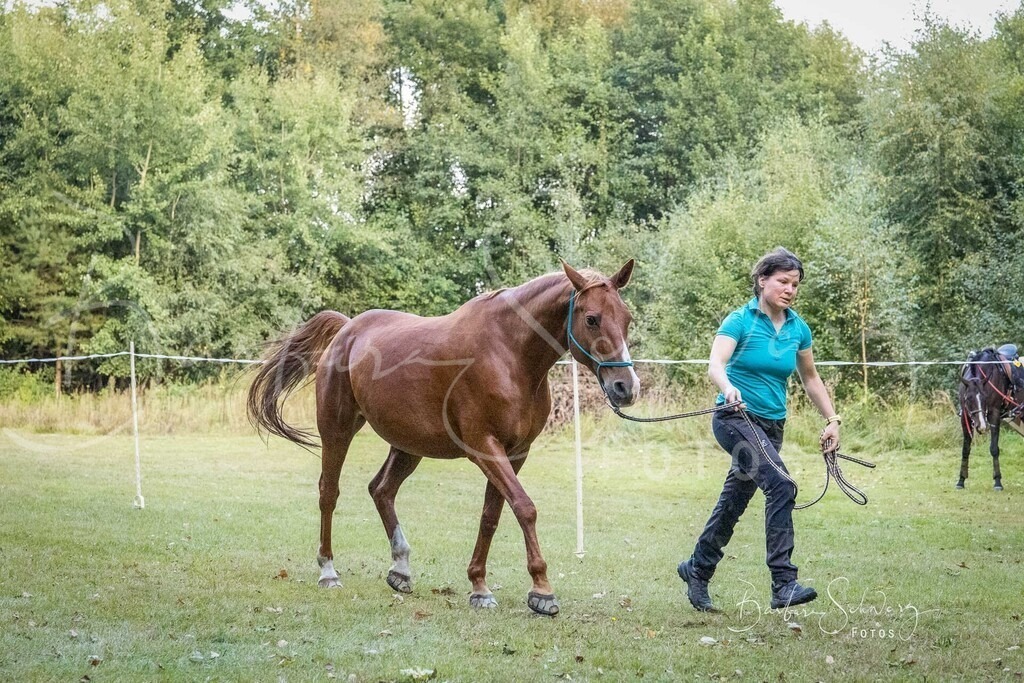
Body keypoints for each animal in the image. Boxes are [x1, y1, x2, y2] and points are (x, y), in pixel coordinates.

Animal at [247, 260, 639, 616]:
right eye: (591, 318)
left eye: (626, 318)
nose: (626, 387)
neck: (509, 354)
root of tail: (347, 330)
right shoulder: (485, 448)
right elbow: (525, 508)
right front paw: (541, 590)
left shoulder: (515, 454)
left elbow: (491, 516)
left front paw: (479, 586)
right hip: (337, 430)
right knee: (329, 493)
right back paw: (328, 571)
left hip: (408, 445)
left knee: (382, 490)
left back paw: (401, 569)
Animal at [957, 346, 1024, 491]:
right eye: (968, 398)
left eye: (985, 397)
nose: (981, 426)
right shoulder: (965, 415)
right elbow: (965, 449)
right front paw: (961, 480)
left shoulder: (994, 414)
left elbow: (994, 449)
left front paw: (997, 481)